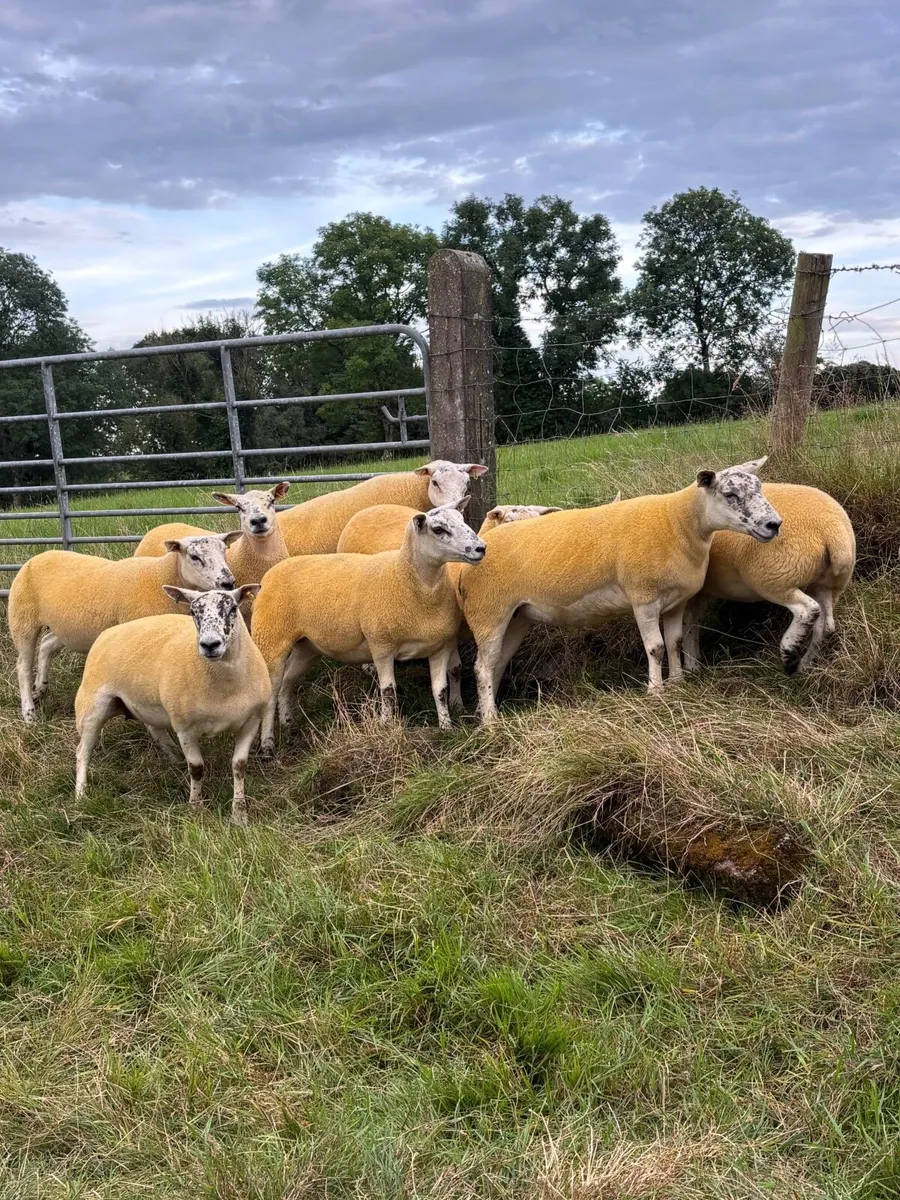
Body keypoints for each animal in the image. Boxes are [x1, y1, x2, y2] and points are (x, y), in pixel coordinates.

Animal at [8, 533, 239, 723]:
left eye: (224, 551)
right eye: (194, 557)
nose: (228, 582)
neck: (162, 576)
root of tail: (38, 556)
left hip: (68, 629)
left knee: (46, 645)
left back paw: (40, 688)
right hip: (22, 619)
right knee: (23, 666)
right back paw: (29, 713)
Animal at [74, 585, 269, 826]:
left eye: (233, 608)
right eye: (193, 612)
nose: (210, 645)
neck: (226, 688)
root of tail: (106, 633)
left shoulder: (251, 721)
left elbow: (239, 766)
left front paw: (239, 816)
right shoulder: (185, 728)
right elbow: (197, 768)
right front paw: (196, 809)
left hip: (145, 704)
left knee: (154, 728)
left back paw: (174, 757)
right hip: (91, 704)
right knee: (83, 752)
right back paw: (81, 796)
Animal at [251, 501, 487, 754]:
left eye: (461, 519)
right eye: (439, 529)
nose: (480, 548)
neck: (404, 578)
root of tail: (271, 574)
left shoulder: (439, 647)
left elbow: (440, 691)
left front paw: (446, 727)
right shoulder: (381, 646)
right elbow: (388, 691)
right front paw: (386, 725)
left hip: (307, 647)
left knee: (287, 681)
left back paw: (287, 722)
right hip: (271, 641)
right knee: (271, 693)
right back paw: (267, 744)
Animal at [455, 458, 783, 723]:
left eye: (759, 488)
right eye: (730, 495)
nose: (774, 524)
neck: (678, 522)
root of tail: (479, 545)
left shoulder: (677, 601)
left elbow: (674, 642)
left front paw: (677, 683)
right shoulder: (643, 597)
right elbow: (656, 647)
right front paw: (656, 691)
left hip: (516, 616)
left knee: (496, 663)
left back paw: (486, 710)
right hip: (488, 613)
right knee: (482, 667)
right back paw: (490, 721)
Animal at [682, 482, 856, 674]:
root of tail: (833, 531)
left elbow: (687, 625)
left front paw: (691, 666)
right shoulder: (699, 594)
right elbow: (693, 623)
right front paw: (694, 662)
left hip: (772, 578)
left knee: (807, 609)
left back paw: (788, 652)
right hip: (828, 583)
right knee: (824, 626)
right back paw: (804, 665)